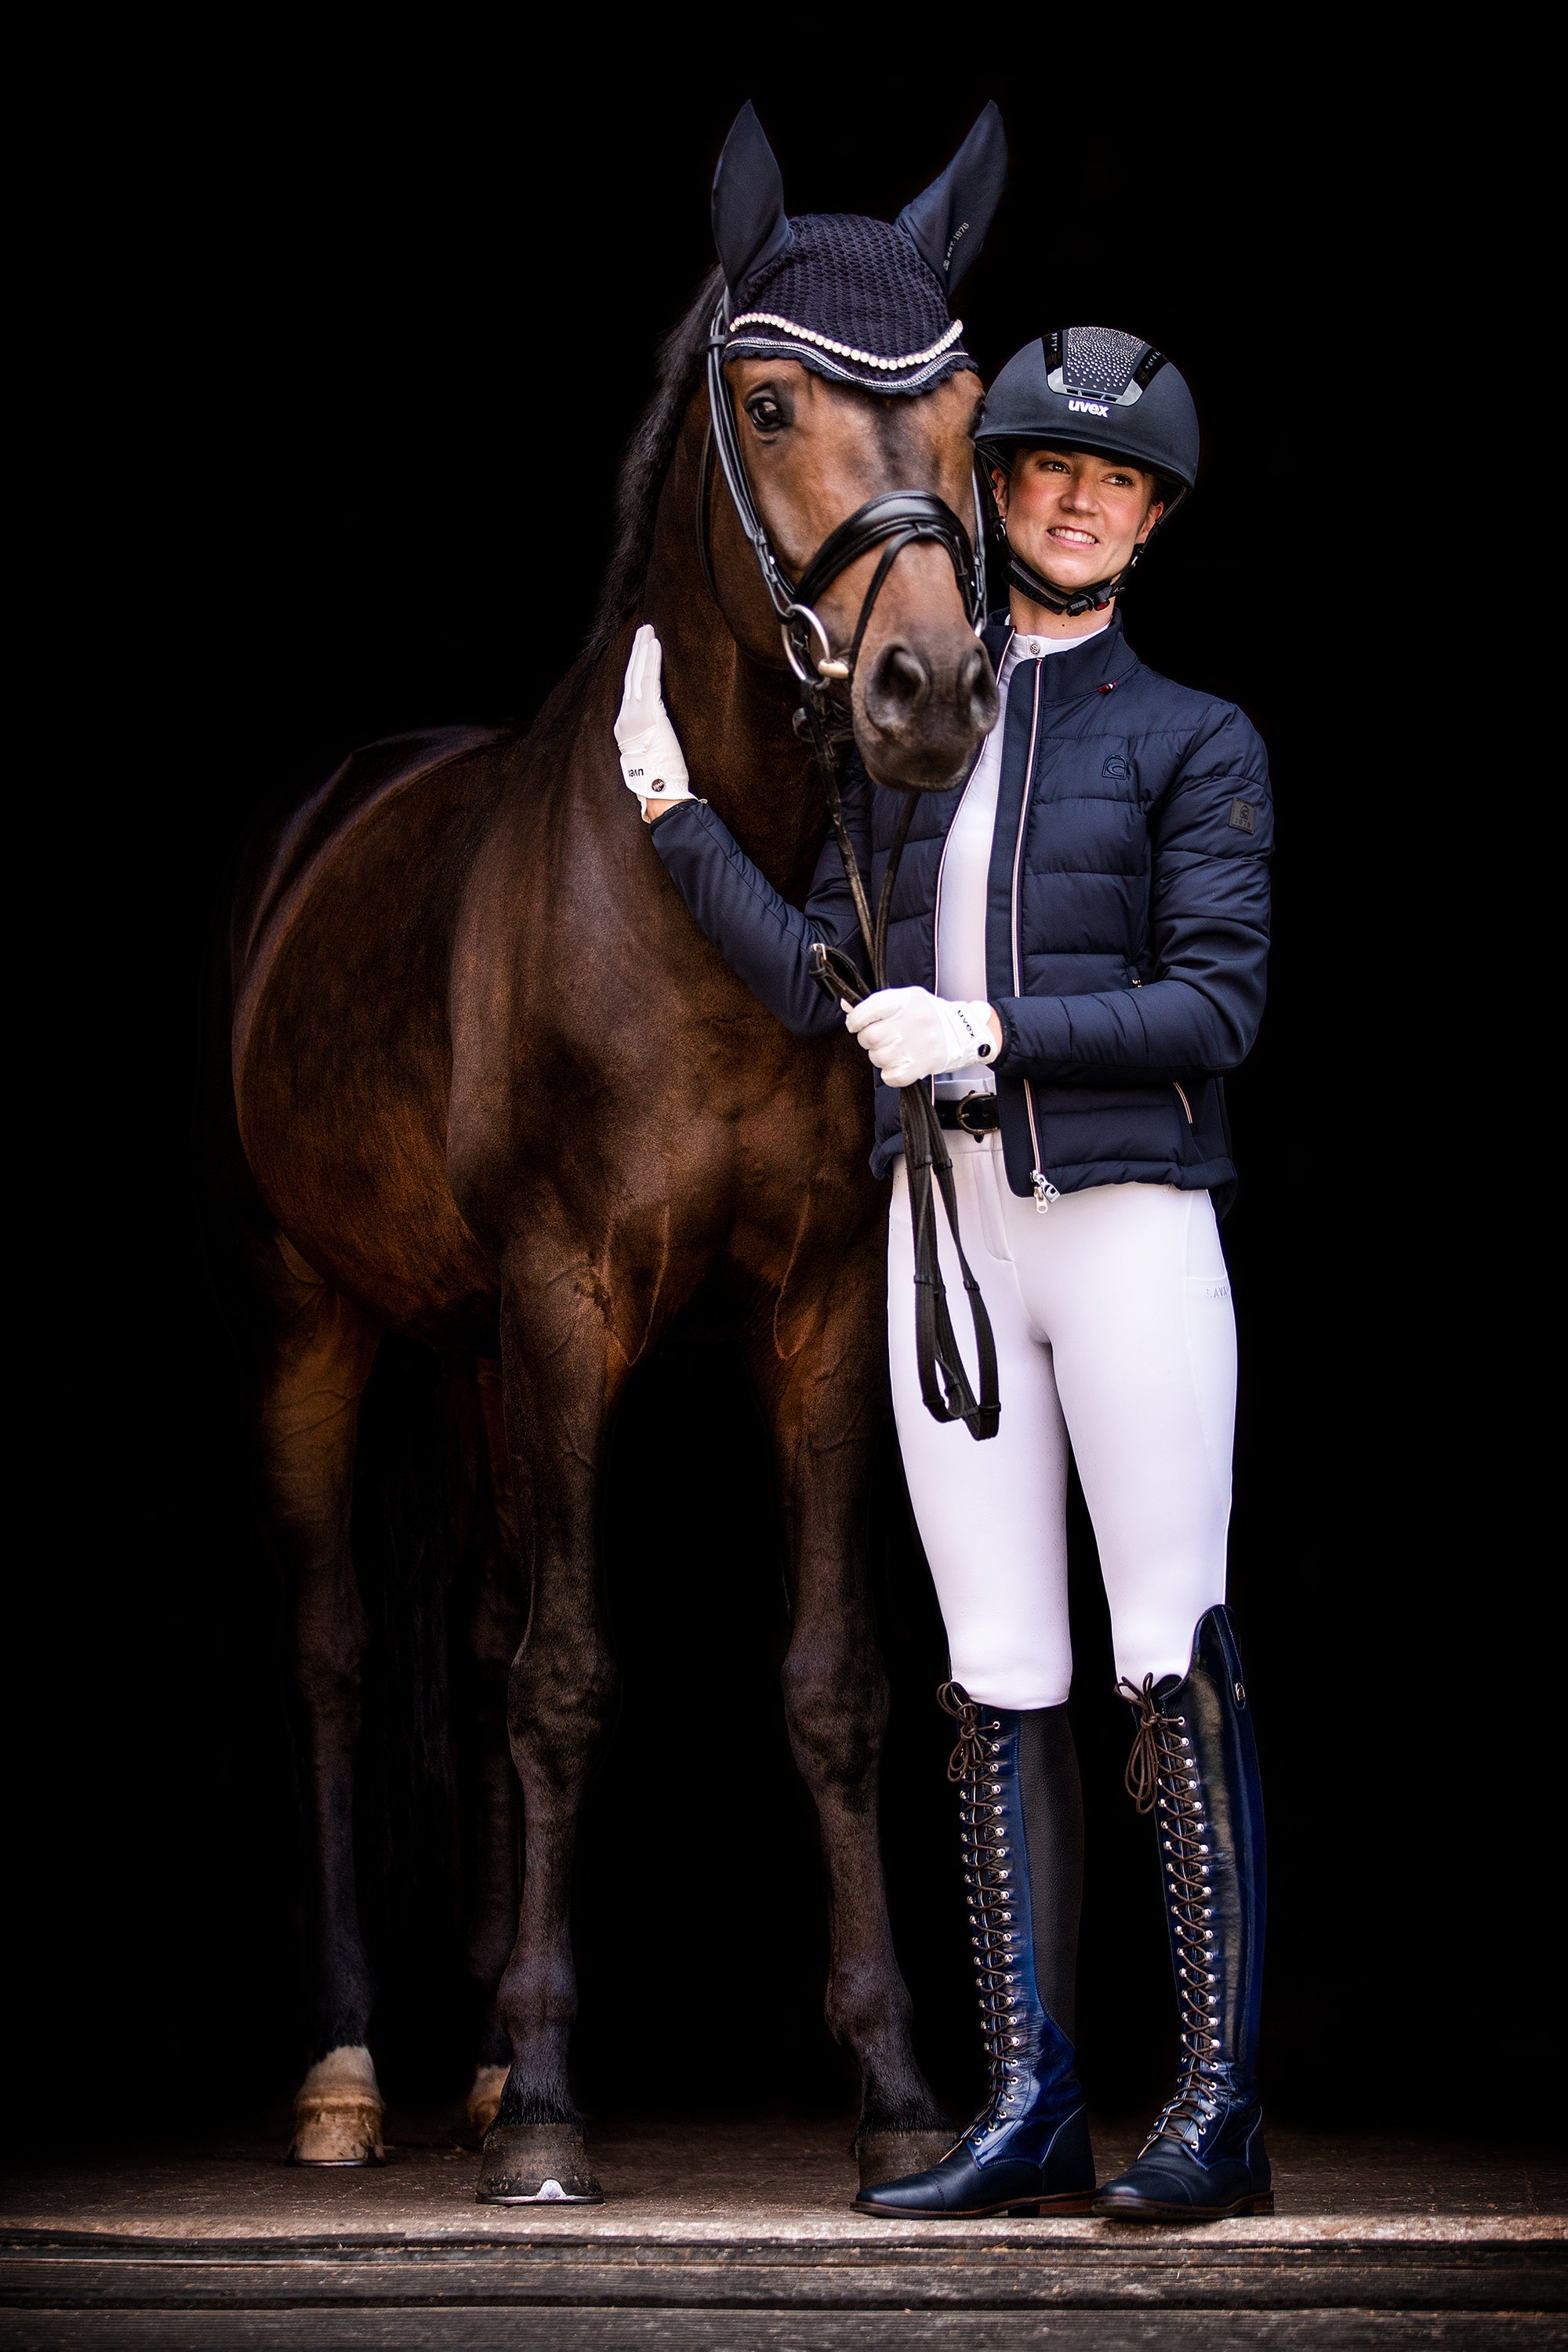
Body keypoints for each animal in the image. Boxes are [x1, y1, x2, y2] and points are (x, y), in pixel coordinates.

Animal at [216, 108, 1004, 2200]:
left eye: (972, 401)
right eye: (768, 398)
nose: (927, 691)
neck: (691, 887)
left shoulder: (819, 1314)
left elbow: (824, 1680)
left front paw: (895, 2084)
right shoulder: (566, 1298)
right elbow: (568, 1674)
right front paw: (557, 2113)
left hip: (477, 1351)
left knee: (482, 1623)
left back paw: (486, 2049)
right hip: (325, 1316)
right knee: (341, 1657)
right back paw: (354, 2069)